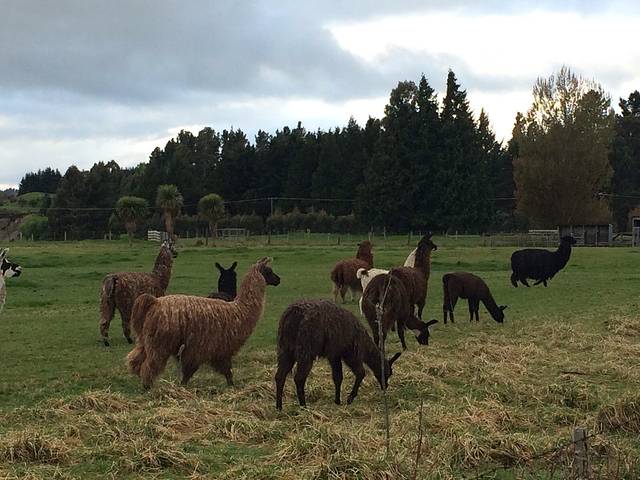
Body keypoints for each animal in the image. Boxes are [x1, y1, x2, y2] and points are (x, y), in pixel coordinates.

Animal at [127, 257, 280, 389]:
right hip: (160, 341)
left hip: (147, 338)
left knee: (136, 358)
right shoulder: (209, 347)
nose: (278, 279)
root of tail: (153, 302)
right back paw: (147, 386)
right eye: (269, 271)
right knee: (150, 363)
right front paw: (182, 387)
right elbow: (192, 371)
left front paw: (231, 386)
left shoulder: (217, 349)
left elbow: (227, 372)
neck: (240, 310)